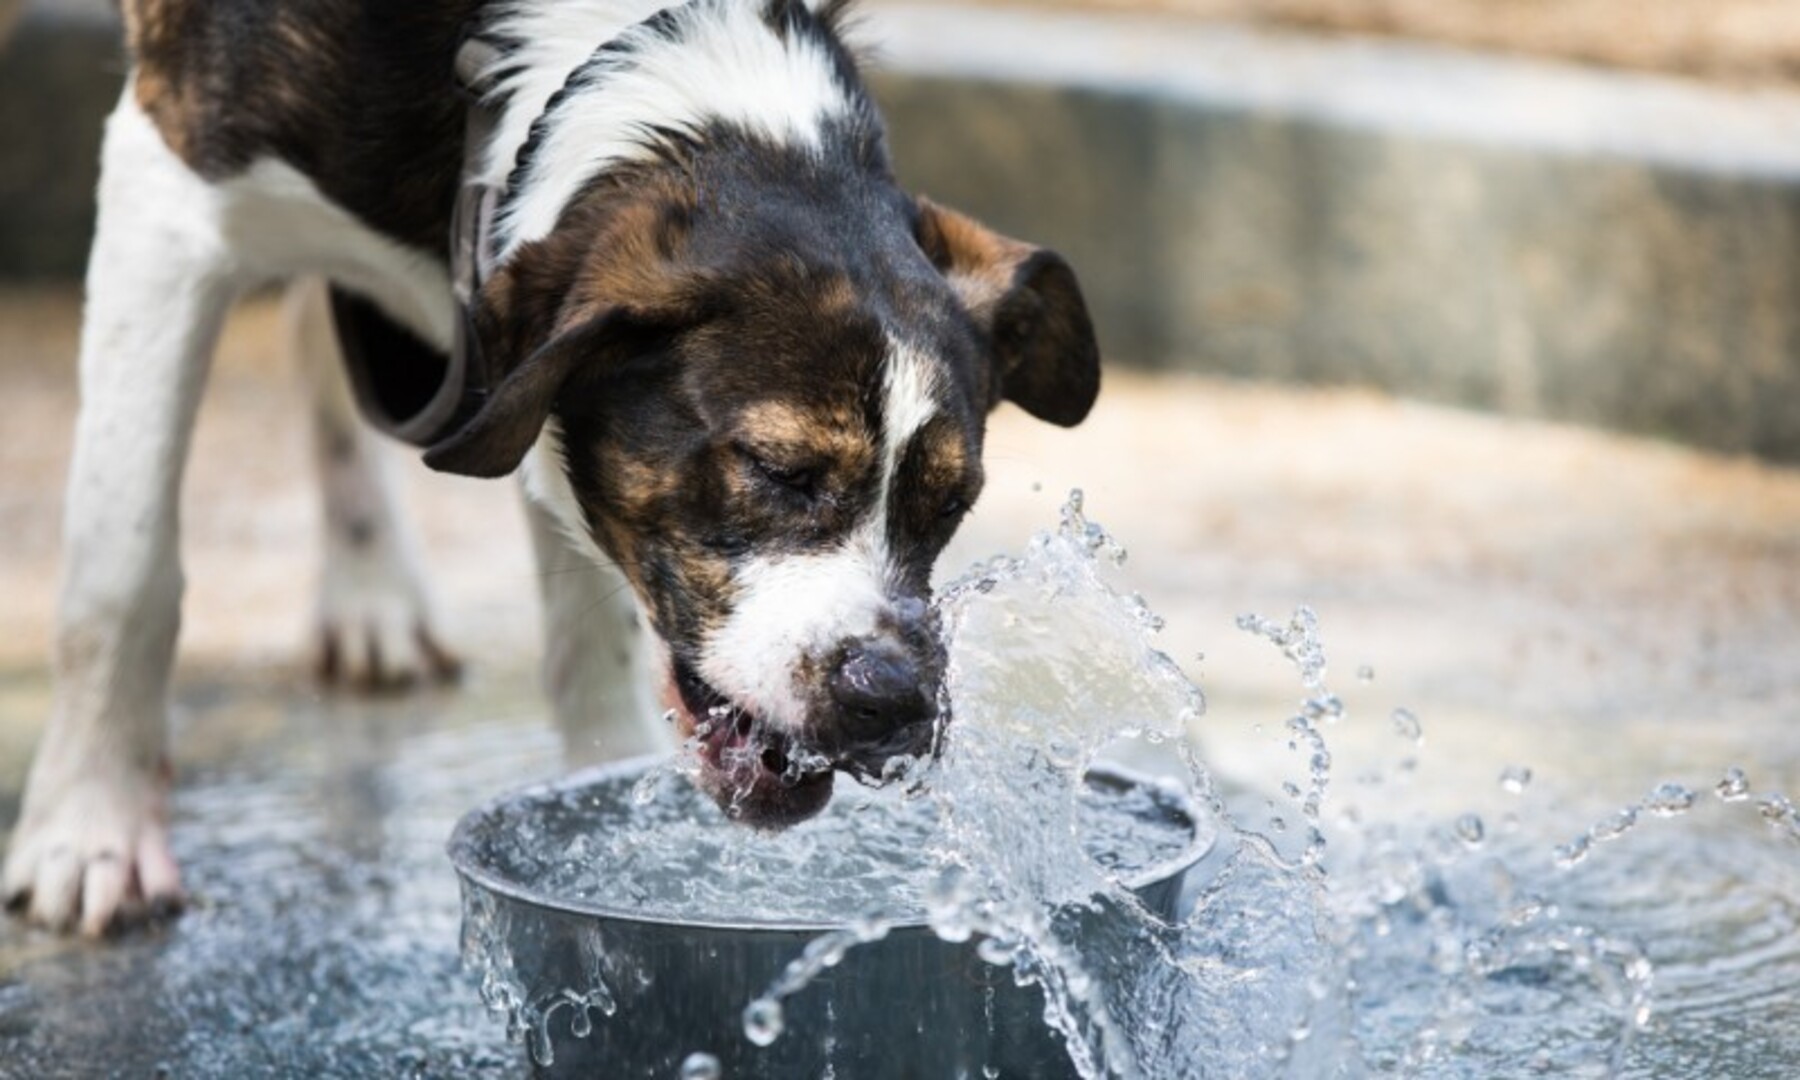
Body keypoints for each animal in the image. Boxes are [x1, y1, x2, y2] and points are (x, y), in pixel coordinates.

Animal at [0, 0, 1094, 928]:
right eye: (777, 470)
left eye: (951, 504)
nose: (893, 702)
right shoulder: (167, 187)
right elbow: (123, 576)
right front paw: (88, 831)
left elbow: (589, 638)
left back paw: (371, 589)